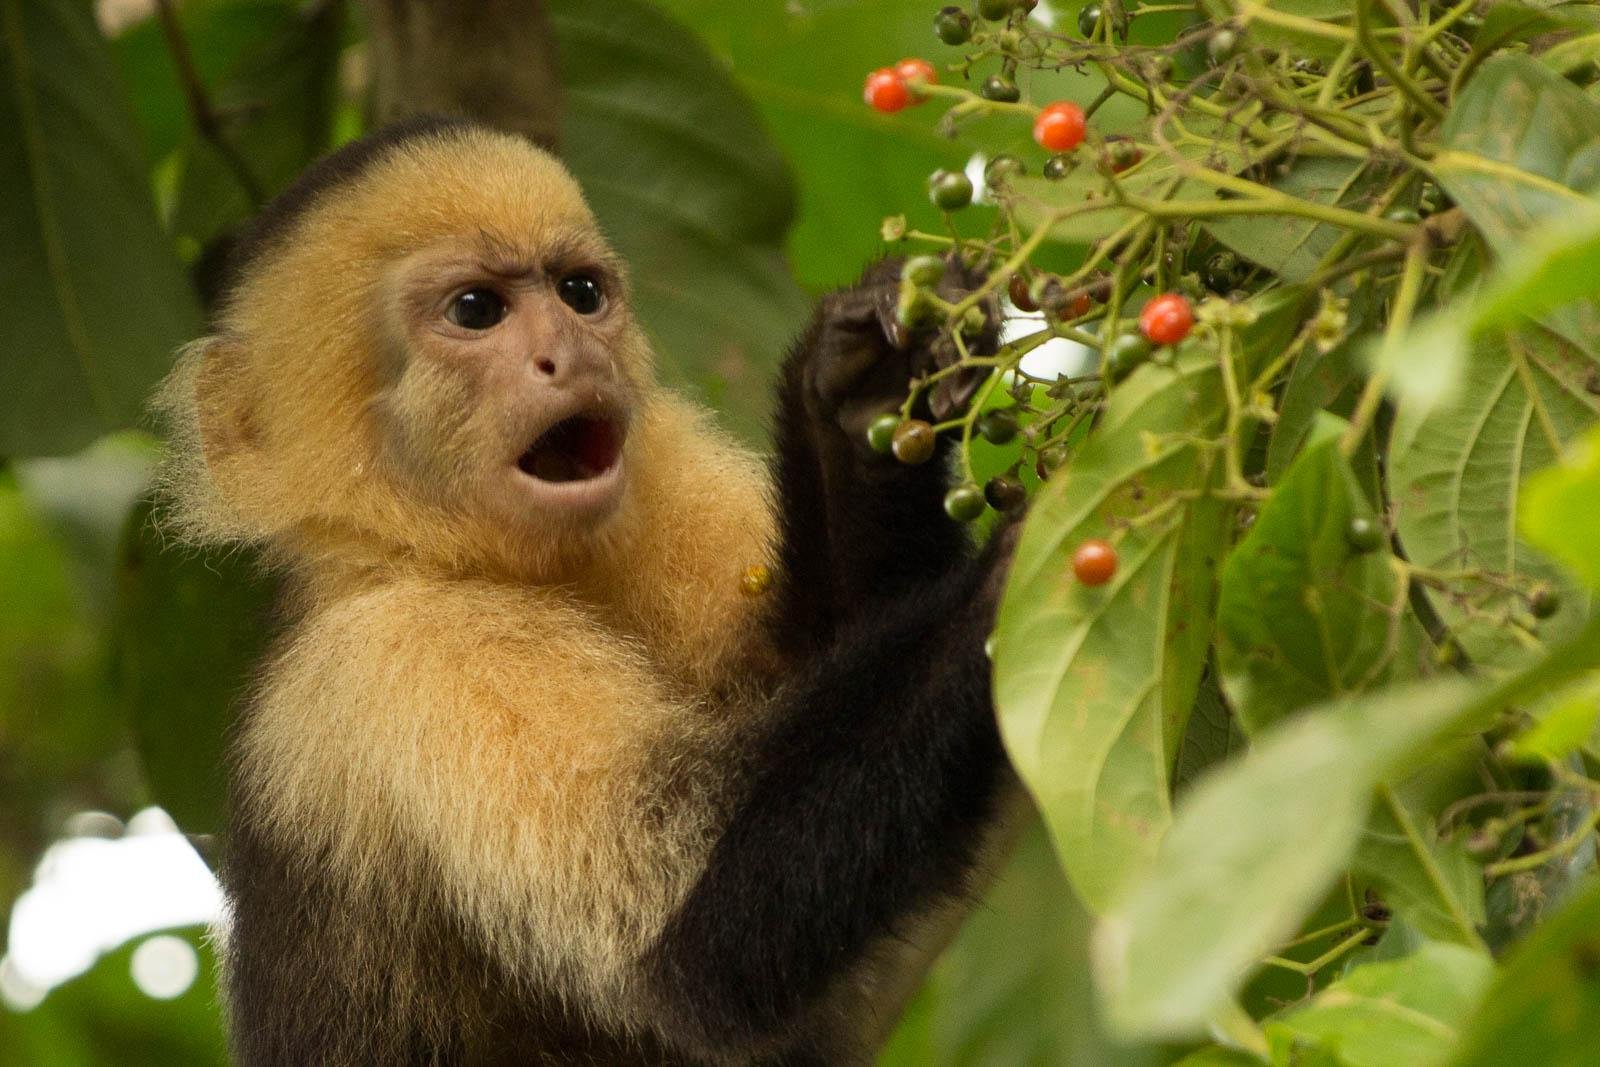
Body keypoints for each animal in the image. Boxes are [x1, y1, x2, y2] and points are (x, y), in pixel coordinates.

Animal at [153, 116, 1025, 1066]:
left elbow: (811, 648)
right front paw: (1015, 577)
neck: (446, 554)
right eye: (476, 310)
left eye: (580, 293)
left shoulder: (664, 474)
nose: (570, 353)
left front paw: (860, 388)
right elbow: (686, 910)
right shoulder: (409, 651)